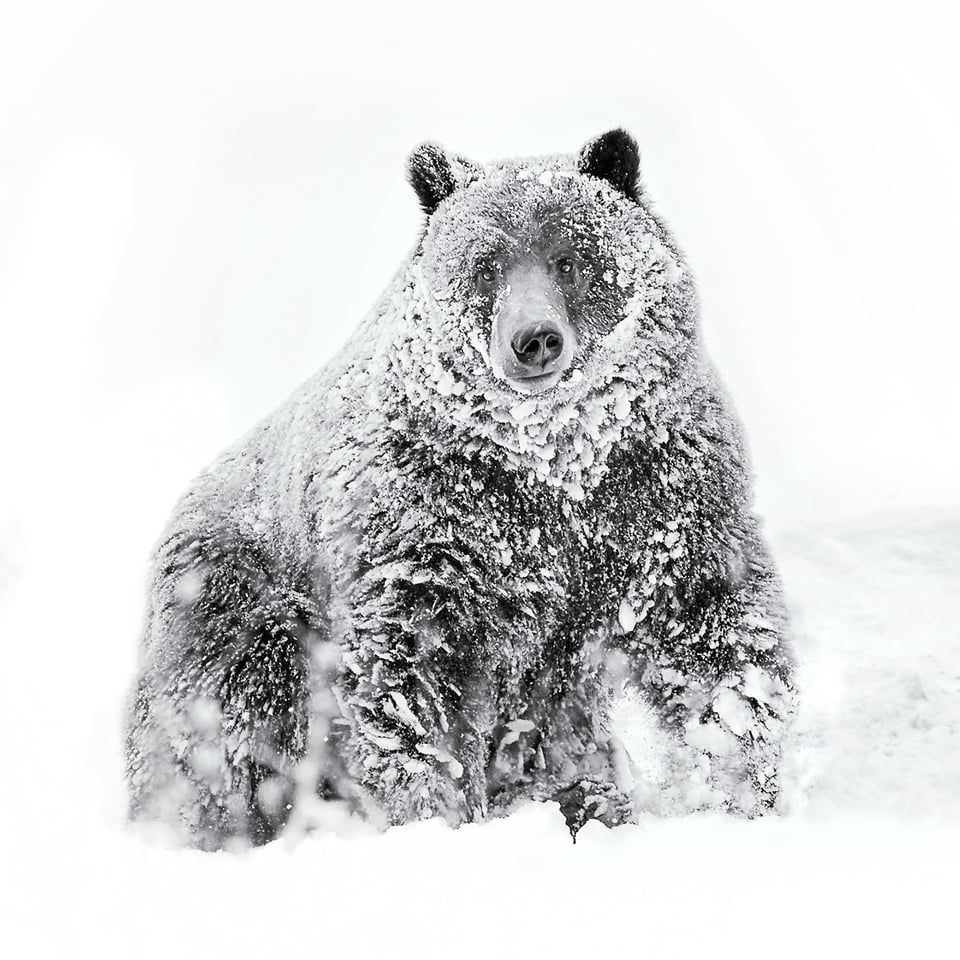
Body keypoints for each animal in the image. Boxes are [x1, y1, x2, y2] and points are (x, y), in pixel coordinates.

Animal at [125, 127, 796, 848]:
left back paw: (582, 795)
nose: (534, 339)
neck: (554, 462)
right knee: (225, 724)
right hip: (242, 606)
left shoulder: (658, 495)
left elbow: (713, 638)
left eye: (568, 257)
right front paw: (436, 813)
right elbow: (413, 681)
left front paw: (735, 788)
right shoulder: (428, 526)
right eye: (487, 264)